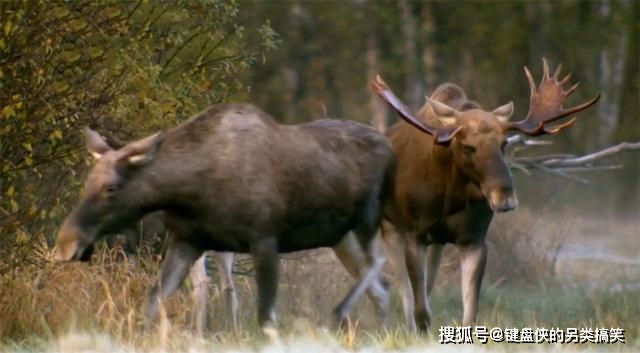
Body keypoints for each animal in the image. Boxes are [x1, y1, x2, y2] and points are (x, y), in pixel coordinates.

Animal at [56, 103, 396, 336]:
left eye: (111, 187)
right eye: (87, 182)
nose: (66, 243)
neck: (192, 189)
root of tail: (389, 144)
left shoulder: (265, 239)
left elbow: (266, 318)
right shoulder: (187, 242)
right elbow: (152, 303)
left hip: (369, 217)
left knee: (378, 263)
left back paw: (341, 311)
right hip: (340, 237)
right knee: (381, 287)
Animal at [372, 57, 604, 330]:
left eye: (504, 143)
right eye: (467, 146)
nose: (505, 197)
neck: (449, 198)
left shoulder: (474, 239)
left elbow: (470, 312)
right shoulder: (414, 233)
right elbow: (420, 309)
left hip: (437, 242)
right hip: (390, 228)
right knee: (404, 290)